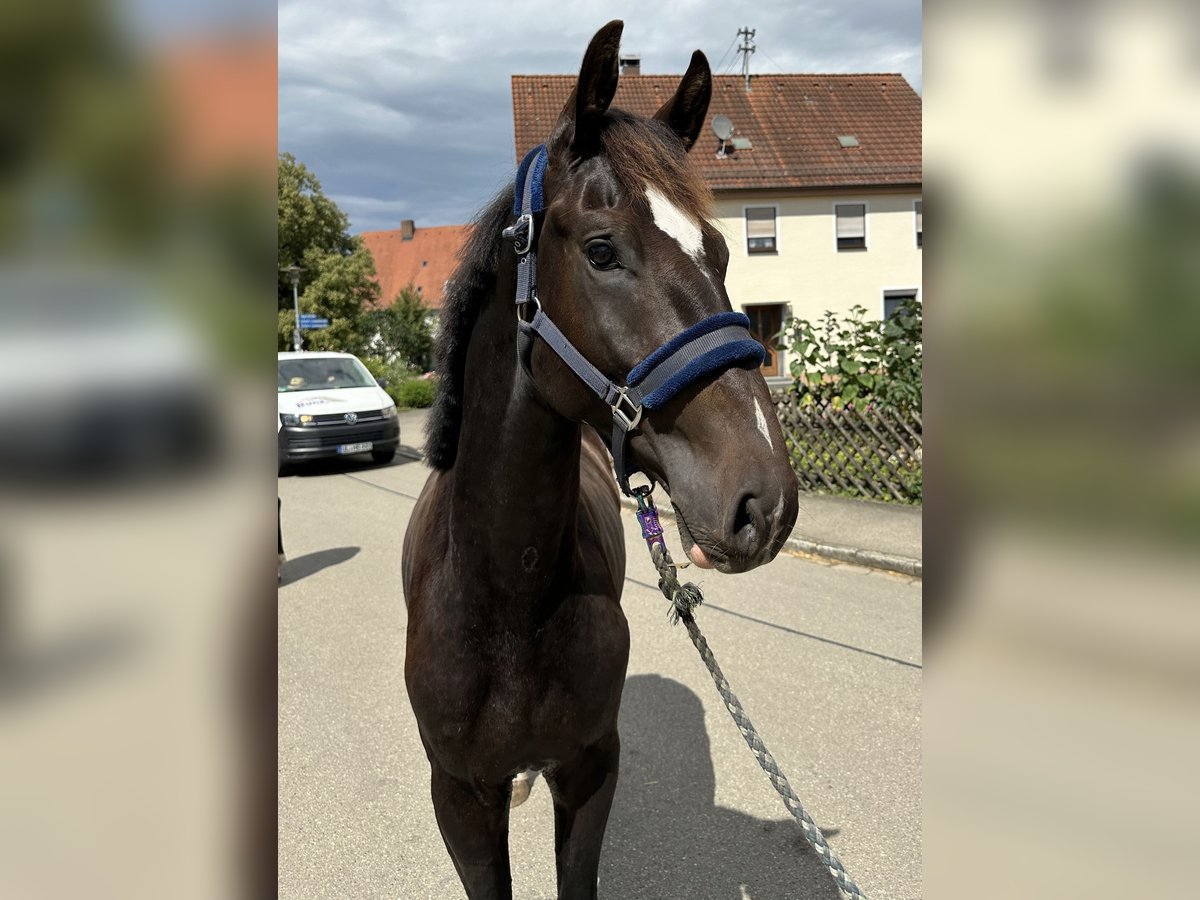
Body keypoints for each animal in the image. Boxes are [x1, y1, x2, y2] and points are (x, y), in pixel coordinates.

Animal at [403, 21, 796, 900]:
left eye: (721, 251)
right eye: (602, 250)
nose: (765, 503)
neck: (506, 603)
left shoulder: (588, 773)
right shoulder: (458, 799)